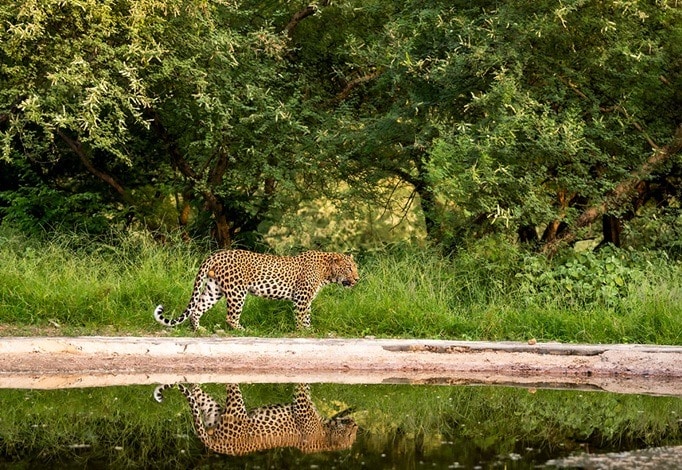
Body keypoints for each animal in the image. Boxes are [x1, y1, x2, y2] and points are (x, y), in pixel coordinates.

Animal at [153, 383, 358, 456]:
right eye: (350, 436)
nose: (356, 424)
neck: (325, 437)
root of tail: (220, 447)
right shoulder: (301, 404)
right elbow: (303, 389)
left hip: (217, 411)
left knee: (199, 394)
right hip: (234, 407)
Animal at [154, 249, 359, 331]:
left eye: (355, 268)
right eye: (349, 268)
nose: (357, 279)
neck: (327, 272)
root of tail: (217, 254)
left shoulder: (306, 299)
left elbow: (307, 315)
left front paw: (308, 330)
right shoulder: (301, 297)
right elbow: (302, 316)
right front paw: (304, 331)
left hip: (214, 289)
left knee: (197, 308)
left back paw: (199, 329)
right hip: (237, 291)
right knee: (230, 316)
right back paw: (242, 330)